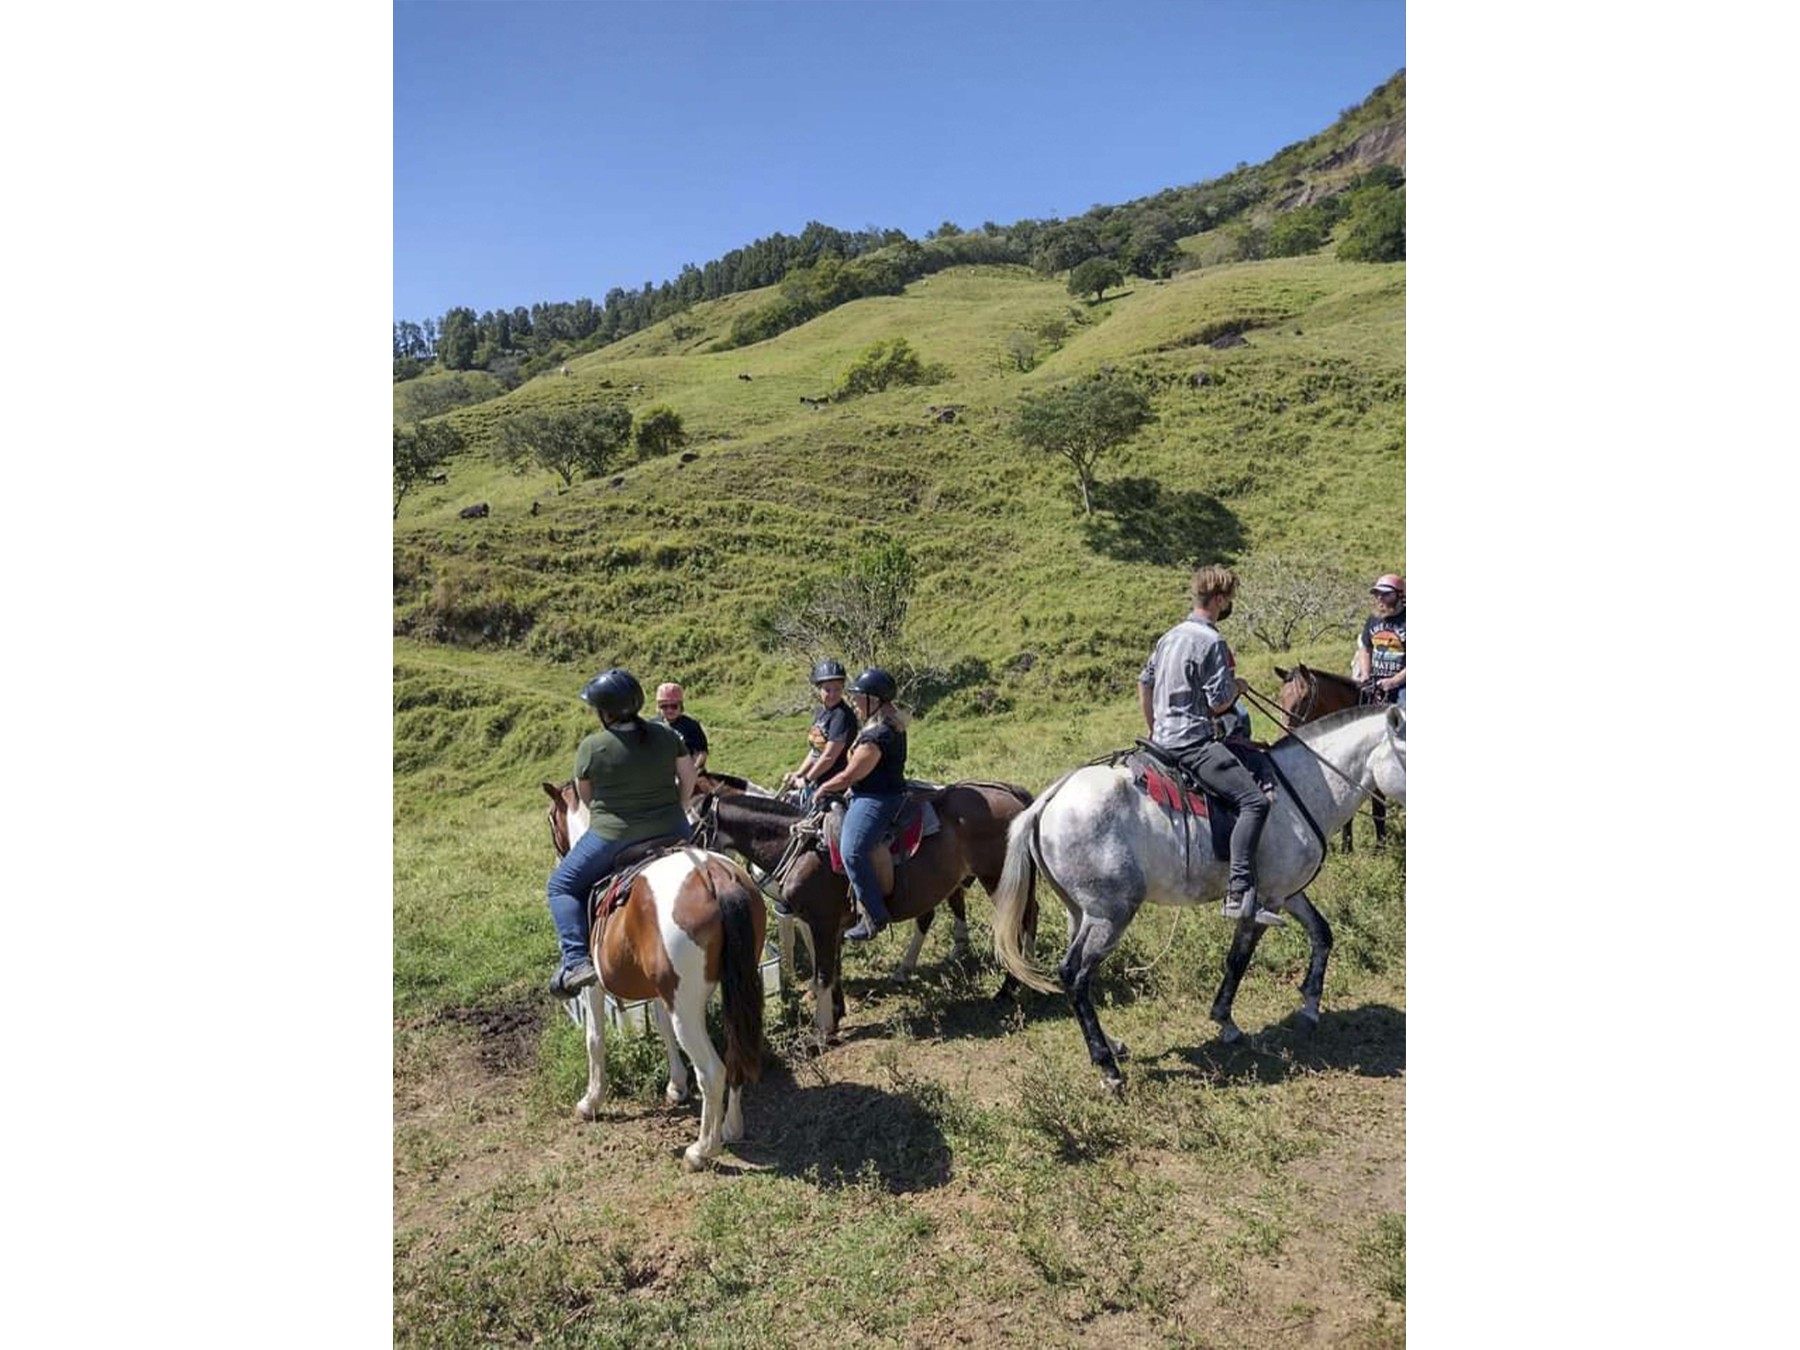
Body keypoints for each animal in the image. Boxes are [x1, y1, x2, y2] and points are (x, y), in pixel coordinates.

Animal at [532, 781, 759, 1173]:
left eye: (550, 820)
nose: (559, 860)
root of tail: (714, 876)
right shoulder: (658, 991)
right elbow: (662, 1029)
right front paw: (676, 1086)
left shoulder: (592, 987)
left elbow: (594, 1039)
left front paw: (592, 1101)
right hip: (733, 990)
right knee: (735, 1053)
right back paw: (732, 1126)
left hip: (687, 1009)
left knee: (712, 1072)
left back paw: (702, 1150)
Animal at [698, 770, 1044, 1044]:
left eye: (692, 822)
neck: (800, 847)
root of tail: (1012, 794)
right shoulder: (828, 923)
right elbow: (833, 968)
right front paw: (836, 1014)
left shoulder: (820, 920)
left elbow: (823, 971)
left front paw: (821, 1031)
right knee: (1024, 914)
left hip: (997, 878)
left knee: (1017, 922)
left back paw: (1008, 986)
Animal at [1000, 702, 1404, 1094]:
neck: (1300, 790)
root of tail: (1048, 801)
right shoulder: (1265, 901)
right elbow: (1238, 959)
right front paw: (1226, 1021)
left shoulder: (1287, 893)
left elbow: (1322, 934)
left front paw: (1310, 1005)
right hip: (1111, 915)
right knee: (1075, 975)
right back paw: (1107, 1067)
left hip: (1081, 913)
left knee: (1079, 980)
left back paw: (1111, 1044)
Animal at [1267, 662, 1389, 849]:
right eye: (1281, 697)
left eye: (1305, 698)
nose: (1284, 736)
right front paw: (1347, 848)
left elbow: (1378, 812)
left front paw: (1381, 849)